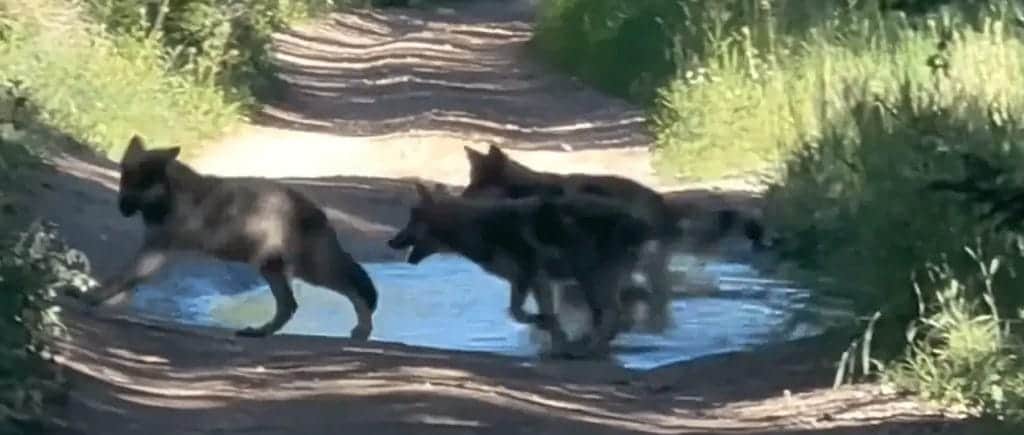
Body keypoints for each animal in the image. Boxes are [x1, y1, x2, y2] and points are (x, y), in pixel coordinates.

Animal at [72, 135, 378, 341]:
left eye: (140, 184)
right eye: (124, 180)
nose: (122, 207)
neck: (170, 195)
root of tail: (318, 211)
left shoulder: (155, 252)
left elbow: (122, 278)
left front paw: (91, 296)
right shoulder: (152, 251)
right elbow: (123, 279)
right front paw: (97, 297)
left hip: (313, 271)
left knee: (357, 291)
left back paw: (363, 330)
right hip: (272, 269)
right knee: (289, 307)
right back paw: (260, 332)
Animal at [386, 183, 659, 357]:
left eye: (412, 222)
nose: (389, 242)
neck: (476, 228)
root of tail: (638, 222)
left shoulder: (530, 277)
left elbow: (520, 313)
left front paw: (550, 331)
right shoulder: (532, 282)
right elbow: (533, 314)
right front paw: (556, 345)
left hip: (591, 279)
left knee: (612, 315)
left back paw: (590, 349)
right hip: (594, 281)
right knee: (611, 317)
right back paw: (593, 347)